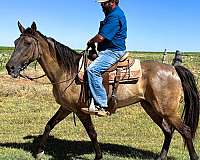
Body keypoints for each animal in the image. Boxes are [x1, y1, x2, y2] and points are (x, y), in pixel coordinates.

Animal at [5, 21, 199, 160]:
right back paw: (161, 157)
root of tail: (174, 69)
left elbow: (92, 132)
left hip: (167, 110)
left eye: (28, 43)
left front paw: (98, 156)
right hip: (151, 107)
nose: (10, 67)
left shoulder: (81, 110)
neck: (68, 72)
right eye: (15, 42)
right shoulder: (66, 107)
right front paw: (39, 151)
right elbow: (49, 124)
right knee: (168, 130)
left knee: (185, 130)